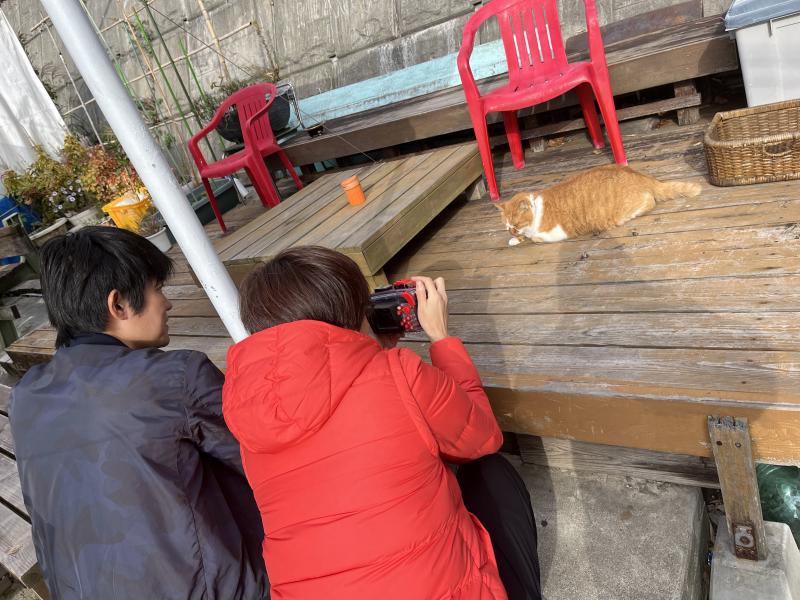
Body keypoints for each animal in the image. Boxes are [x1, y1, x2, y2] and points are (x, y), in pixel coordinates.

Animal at [496, 163, 704, 245]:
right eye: (507, 226)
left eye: (515, 223)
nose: (511, 232)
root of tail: (643, 176)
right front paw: (516, 240)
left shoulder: (557, 232)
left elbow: (535, 238)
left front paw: (525, 238)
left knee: (649, 201)